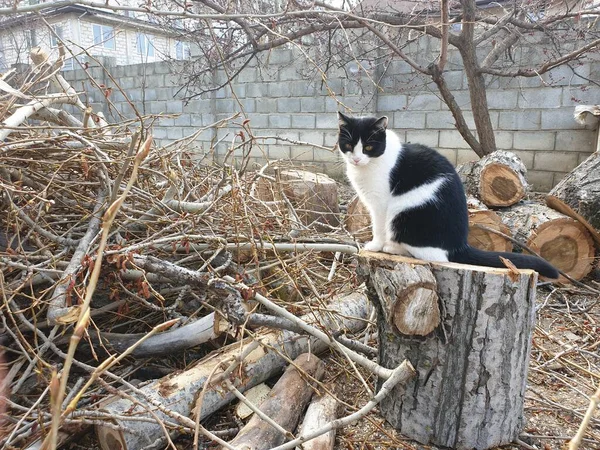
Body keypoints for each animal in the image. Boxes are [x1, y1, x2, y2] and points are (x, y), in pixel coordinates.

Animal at [340, 111, 560, 278]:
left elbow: (378, 227)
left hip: (403, 211)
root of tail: (460, 245)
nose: (357, 159)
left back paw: (392, 248)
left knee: (431, 254)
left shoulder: (380, 203)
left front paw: (374, 245)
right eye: (349, 146)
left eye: (368, 147)